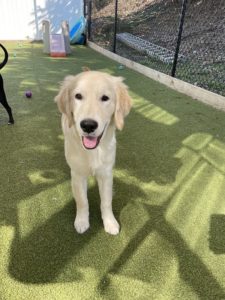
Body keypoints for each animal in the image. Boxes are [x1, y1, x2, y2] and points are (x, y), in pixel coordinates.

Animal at [55, 70, 132, 234]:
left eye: (105, 98)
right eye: (78, 96)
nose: (88, 125)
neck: (93, 151)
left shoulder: (106, 173)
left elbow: (106, 201)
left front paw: (110, 222)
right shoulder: (78, 174)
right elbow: (82, 200)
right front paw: (82, 221)